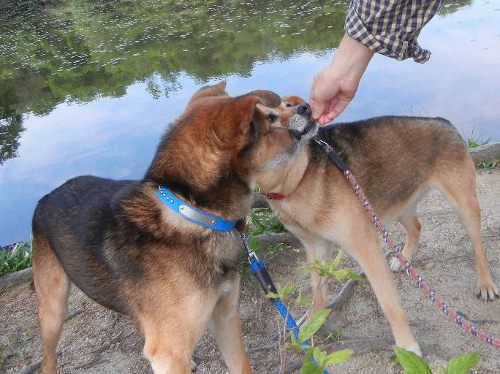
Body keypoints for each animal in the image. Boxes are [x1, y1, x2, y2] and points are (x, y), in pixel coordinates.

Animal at [33, 82, 306, 374]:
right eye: (270, 119)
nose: (308, 112)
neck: (192, 214)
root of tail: (47, 195)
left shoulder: (225, 316)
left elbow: (241, 365)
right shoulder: (169, 353)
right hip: (53, 308)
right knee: (48, 355)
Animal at [256, 95, 498, 356]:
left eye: (286, 106)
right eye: (269, 117)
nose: (306, 108)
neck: (298, 177)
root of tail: (442, 121)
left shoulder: (367, 249)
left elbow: (389, 304)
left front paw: (407, 347)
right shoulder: (315, 248)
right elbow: (317, 294)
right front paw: (310, 324)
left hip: (463, 205)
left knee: (478, 246)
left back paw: (486, 283)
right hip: (396, 202)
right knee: (416, 227)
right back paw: (403, 259)